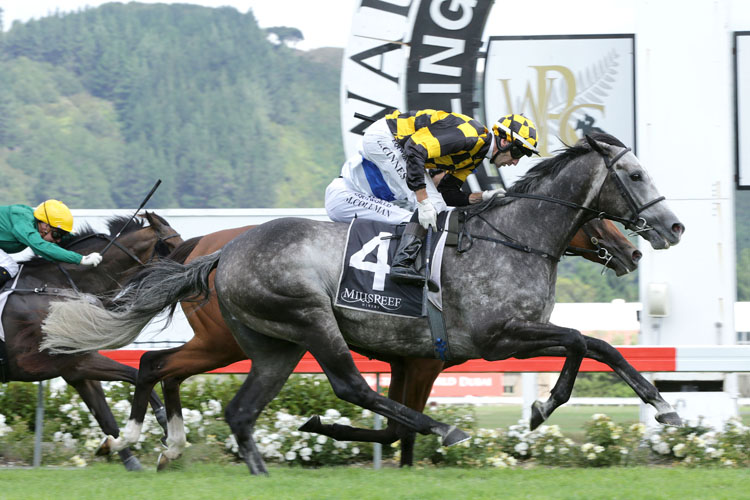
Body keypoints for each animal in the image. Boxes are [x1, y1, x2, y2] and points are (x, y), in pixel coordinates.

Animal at [3, 213, 184, 470]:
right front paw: (163, 423)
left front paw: (128, 459)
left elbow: (106, 418)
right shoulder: (77, 362)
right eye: (173, 244)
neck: (57, 287)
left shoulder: (78, 372)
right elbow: (136, 374)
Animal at [41, 134, 688, 476]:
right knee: (348, 385)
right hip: (308, 321)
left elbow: (598, 345)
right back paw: (444, 429)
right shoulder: (497, 337)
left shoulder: (437, 355)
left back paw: (214, 457)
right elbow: (583, 341)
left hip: (270, 345)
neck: (511, 238)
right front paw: (543, 407)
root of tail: (222, 251)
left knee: (218, 397)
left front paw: (663, 406)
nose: (668, 230)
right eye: (633, 174)